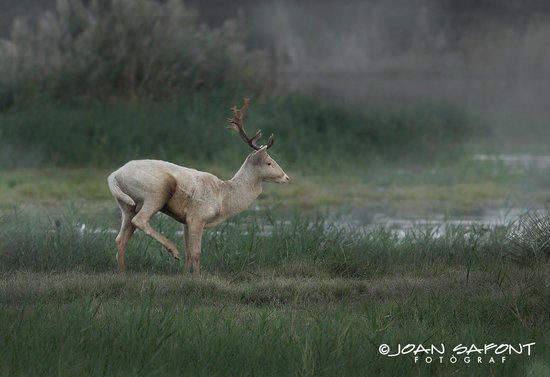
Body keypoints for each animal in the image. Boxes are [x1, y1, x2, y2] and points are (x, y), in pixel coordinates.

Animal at [105, 98, 292, 272]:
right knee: (140, 220)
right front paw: (197, 276)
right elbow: (196, 253)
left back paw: (123, 272)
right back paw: (173, 251)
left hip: (127, 205)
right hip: (156, 192)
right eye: (269, 162)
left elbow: (190, 253)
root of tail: (114, 175)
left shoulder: (186, 221)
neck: (224, 198)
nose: (287, 177)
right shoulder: (197, 216)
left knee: (120, 239)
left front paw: (185, 275)